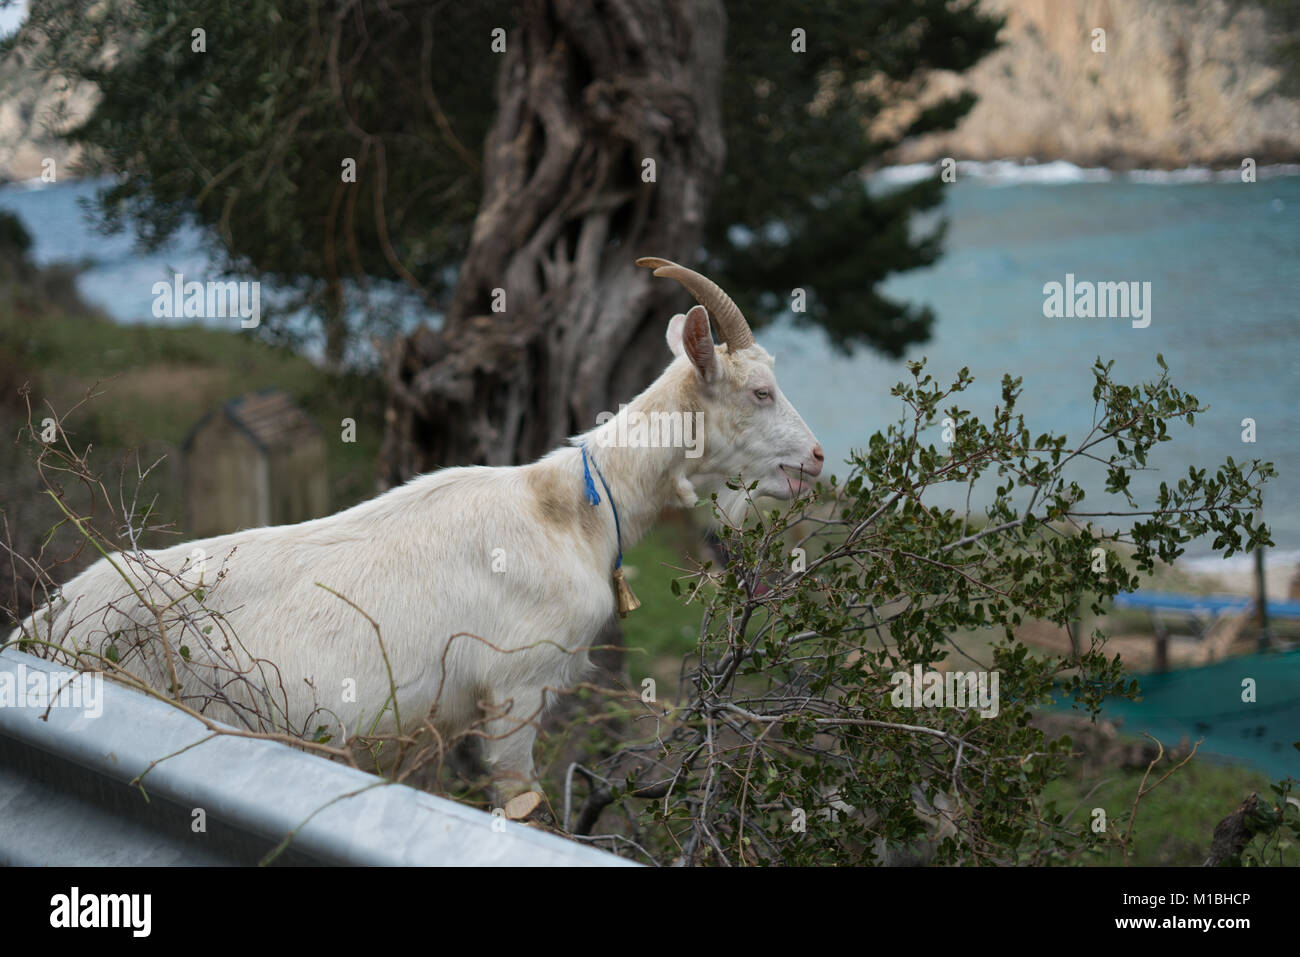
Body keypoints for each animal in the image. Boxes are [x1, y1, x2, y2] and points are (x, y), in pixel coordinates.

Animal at [7, 257, 824, 812]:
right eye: (760, 391)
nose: (815, 459)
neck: (572, 509)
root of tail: (38, 631)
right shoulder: (517, 686)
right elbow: (522, 802)